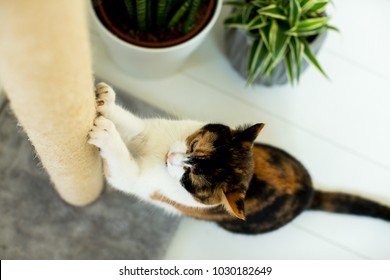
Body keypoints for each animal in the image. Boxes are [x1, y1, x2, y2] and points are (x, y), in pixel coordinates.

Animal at [87, 82, 390, 234]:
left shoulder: (140, 181)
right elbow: (133, 125)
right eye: (193, 145)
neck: (157, 154)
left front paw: (105, 132)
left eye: (189, 179)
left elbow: (122, 167)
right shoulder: (153, 135)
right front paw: (105, 101)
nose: (171, 157)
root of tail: (311, 192)